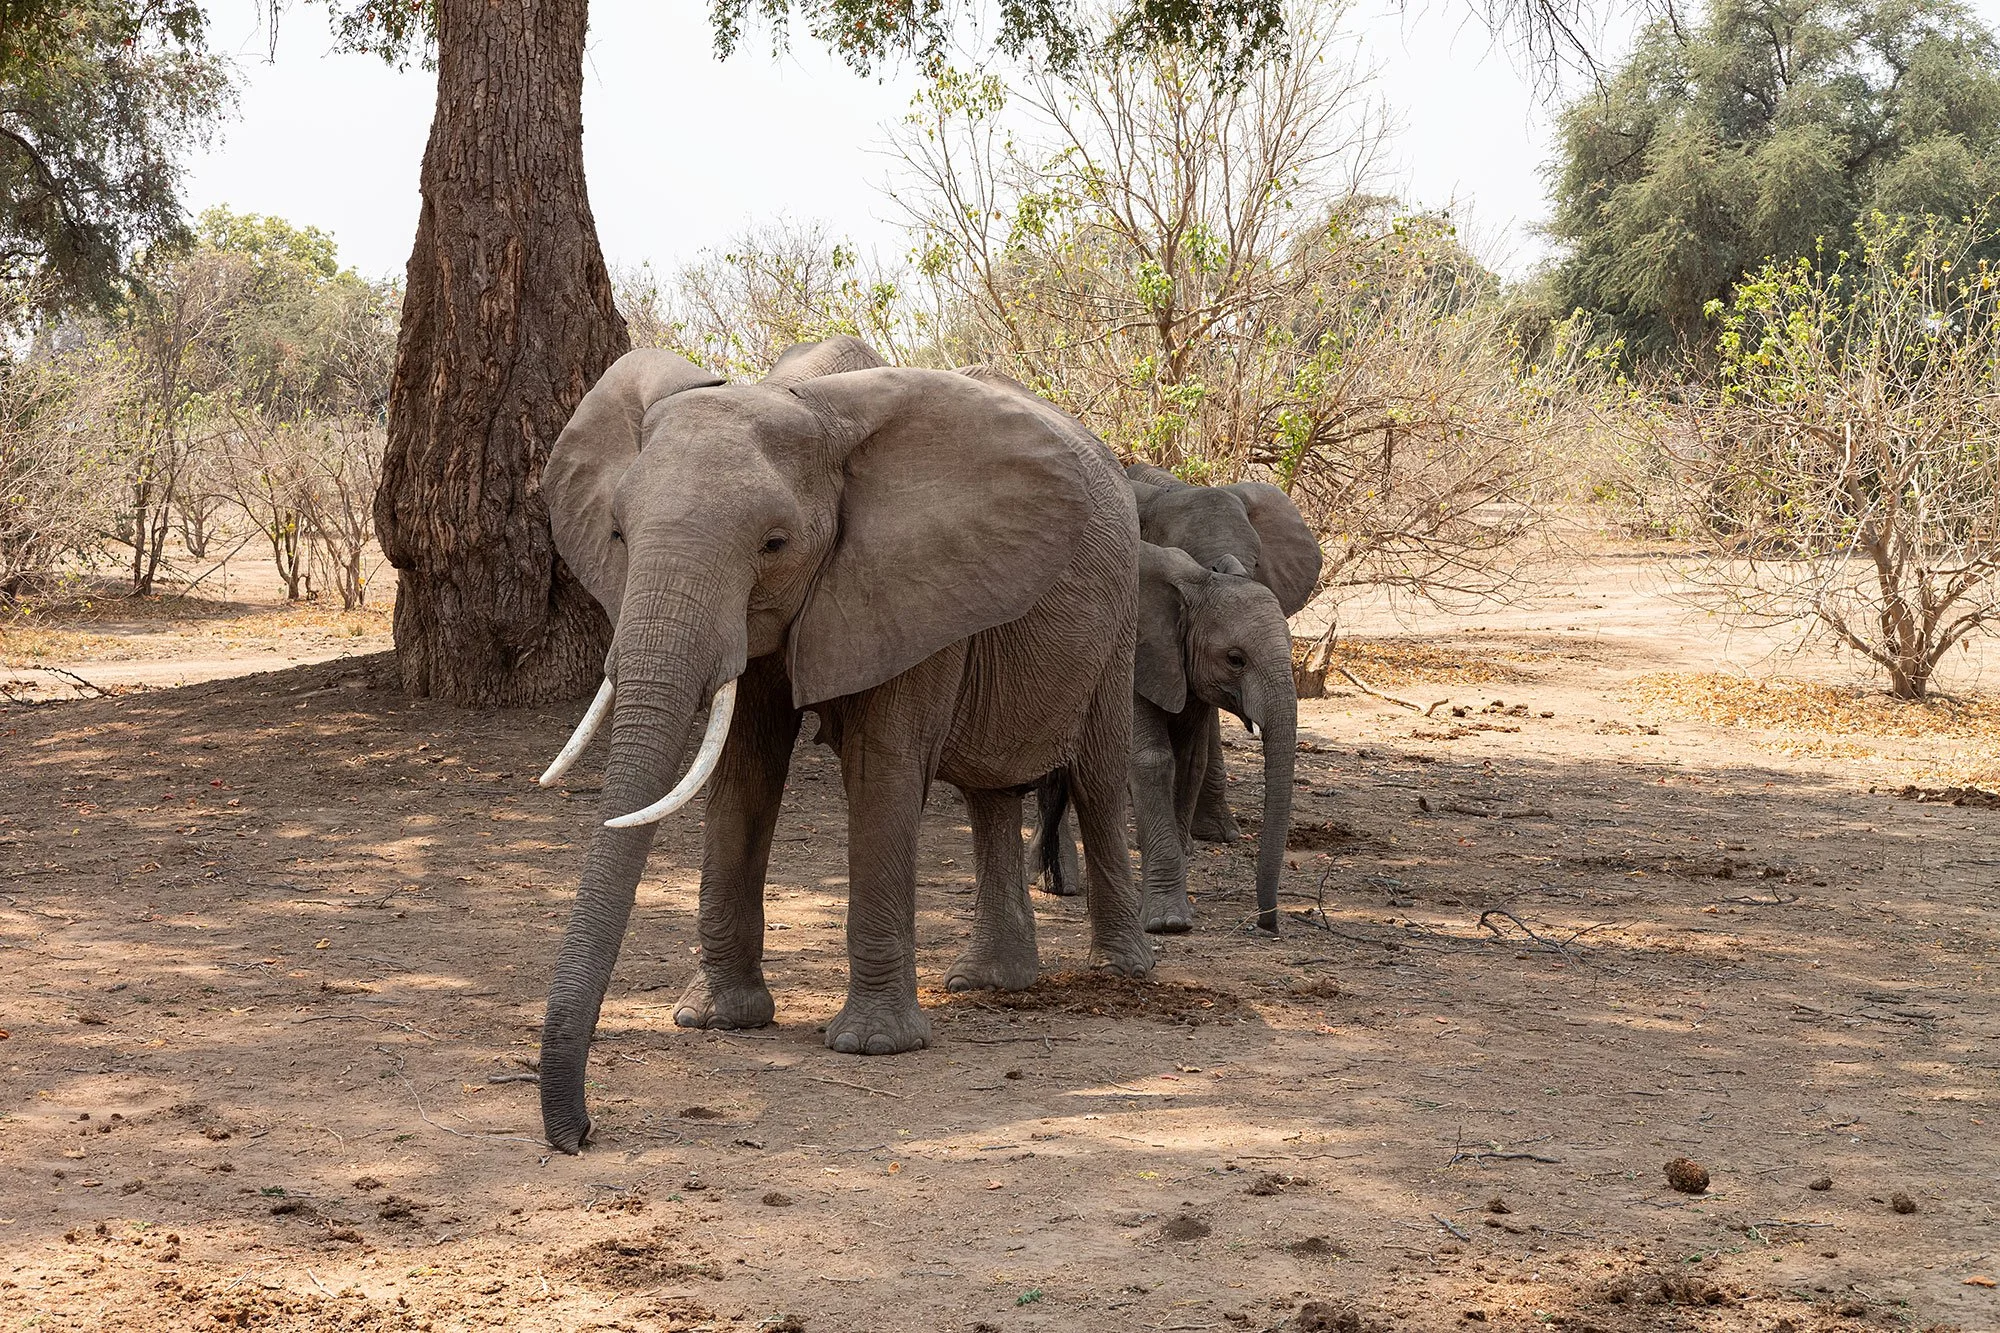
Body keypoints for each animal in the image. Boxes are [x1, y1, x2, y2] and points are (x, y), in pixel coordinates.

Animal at [532, 337, 1151, 1153]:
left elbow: (882, 769)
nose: (580, 1134)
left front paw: (873, 1046)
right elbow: (745, 771)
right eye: (617, 536)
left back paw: (1119, 973)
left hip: (1121, 618)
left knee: (1100, 778)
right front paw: (716, 1021)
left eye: (774, 544)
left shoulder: (913, 579)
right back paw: (988, 983)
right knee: (990, 792)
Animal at [1031, 541, 1299, 934]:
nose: (1268, 924)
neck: (1197, 585)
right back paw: (1055, 883)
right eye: (1235, 659)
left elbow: (1189, 761)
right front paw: (1167, 924)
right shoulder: (1135, 657)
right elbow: (1151, 760)